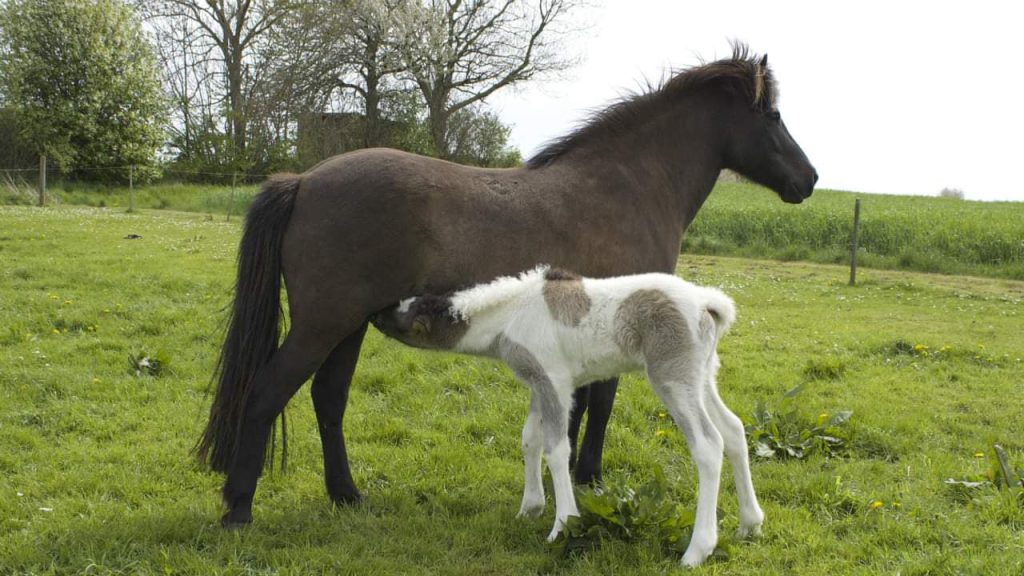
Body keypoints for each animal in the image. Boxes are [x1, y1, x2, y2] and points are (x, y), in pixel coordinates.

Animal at [372, 264, 765, 565]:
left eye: (402, 312)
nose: (374, 312)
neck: (510, 316)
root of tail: (708, 304)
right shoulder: (537, 383)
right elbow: (530, 440)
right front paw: (529, 508)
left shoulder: (556, 381)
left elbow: (558, 449)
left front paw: (562, 524)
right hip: (702, 375)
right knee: (733, 429)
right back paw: (750, 523)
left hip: (672, 376)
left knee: (708, 445)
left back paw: (698, 550)